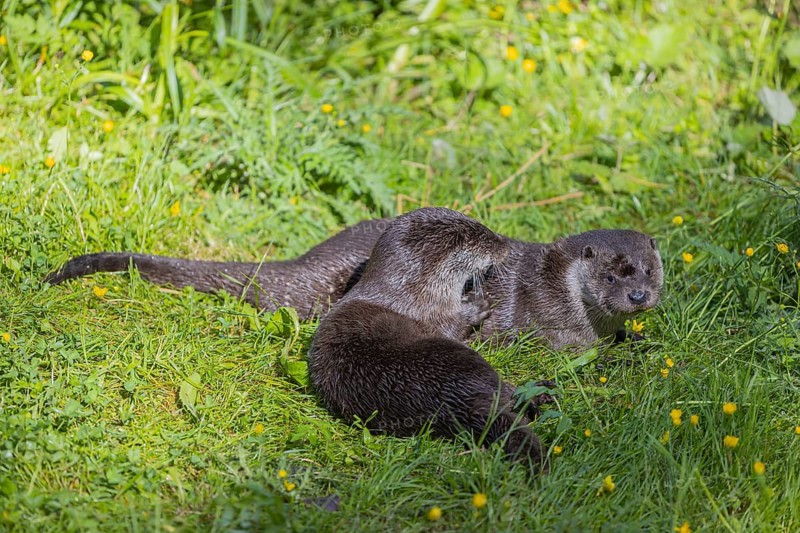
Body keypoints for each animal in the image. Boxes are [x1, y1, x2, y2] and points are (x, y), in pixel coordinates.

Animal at [308, 207, 548, 469]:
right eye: (483, 238)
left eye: (482, 226)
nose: (503, 244)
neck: (415, 293)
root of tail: (452, 399)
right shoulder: (435, 314)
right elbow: (455, 325)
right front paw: (477, 305)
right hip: (469, 361)